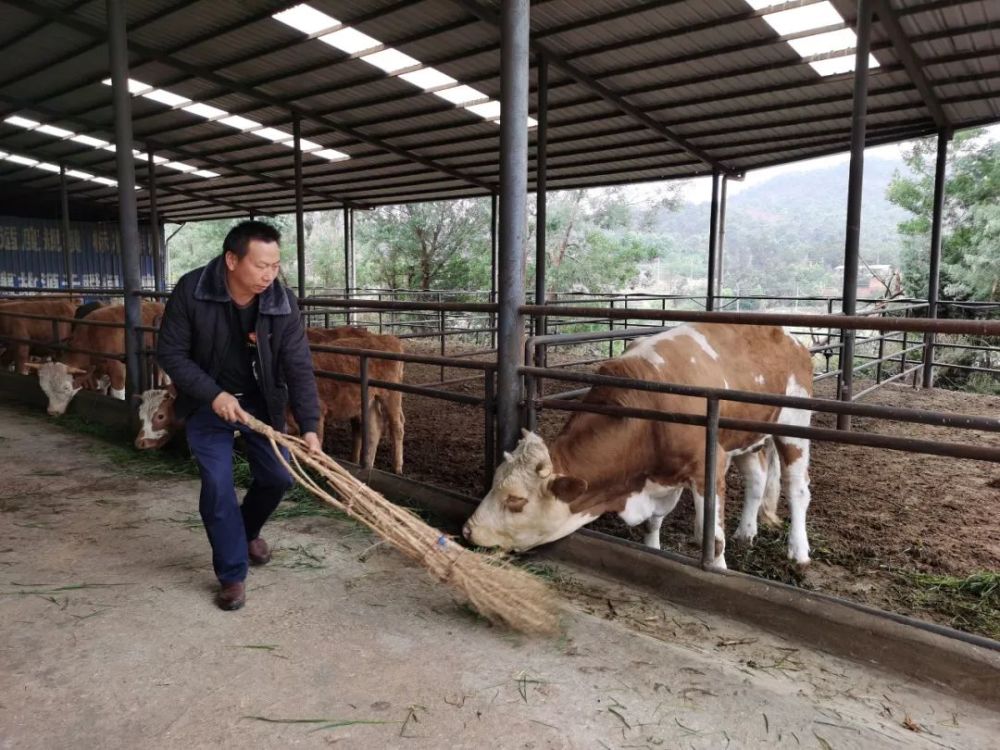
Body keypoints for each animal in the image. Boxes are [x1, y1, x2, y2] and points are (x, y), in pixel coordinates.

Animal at [460, 324, 812, 568]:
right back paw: (747, 532)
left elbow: (711, 538)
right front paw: (652, 549)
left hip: (794, 423)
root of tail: (791, 336)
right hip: (747, 438)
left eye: (516, 501)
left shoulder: (706, 468)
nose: (467, 531)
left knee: (796, 488)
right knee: (757, 479)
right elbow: (655, 519)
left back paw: (798, 552)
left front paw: (719, 568)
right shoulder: (660, 477)